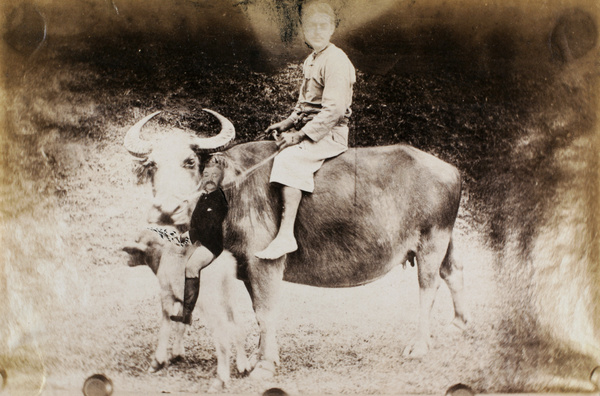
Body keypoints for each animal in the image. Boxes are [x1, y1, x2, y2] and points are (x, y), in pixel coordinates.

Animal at [123, 227, 250, 392]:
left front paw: (158, 361)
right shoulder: (185, 300)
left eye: (135, 244)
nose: (125, 260)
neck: (163, 255)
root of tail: (226, 266)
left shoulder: (166, 294)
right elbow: (180, 324)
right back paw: (243, 366)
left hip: (211, 305)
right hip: (229, 297)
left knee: (222, 334)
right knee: (238, 326)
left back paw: (221, 379)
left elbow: (165, 325)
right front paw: (177, 353)